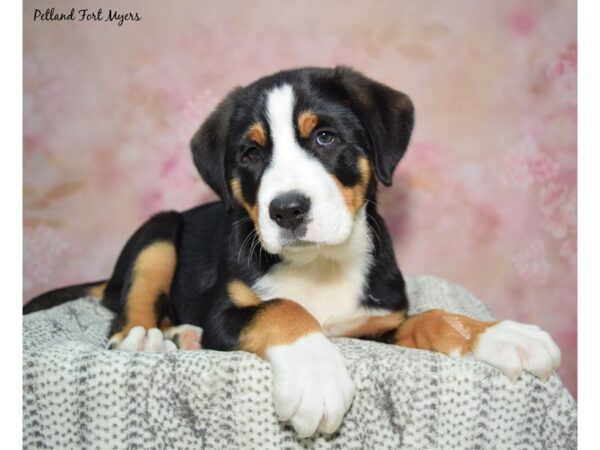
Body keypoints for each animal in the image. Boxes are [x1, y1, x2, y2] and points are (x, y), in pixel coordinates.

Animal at [27, 66, 564, 436]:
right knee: (134, 299)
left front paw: (500, 335)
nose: (286, 209)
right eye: (250, 153)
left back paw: (184, 335)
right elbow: (283, 308)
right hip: (159, 231)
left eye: (325, 137)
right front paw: (315, 378)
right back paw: (145, 336)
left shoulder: (377, 322)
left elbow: (433, 316)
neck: (320, 264)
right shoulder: (226, 311)